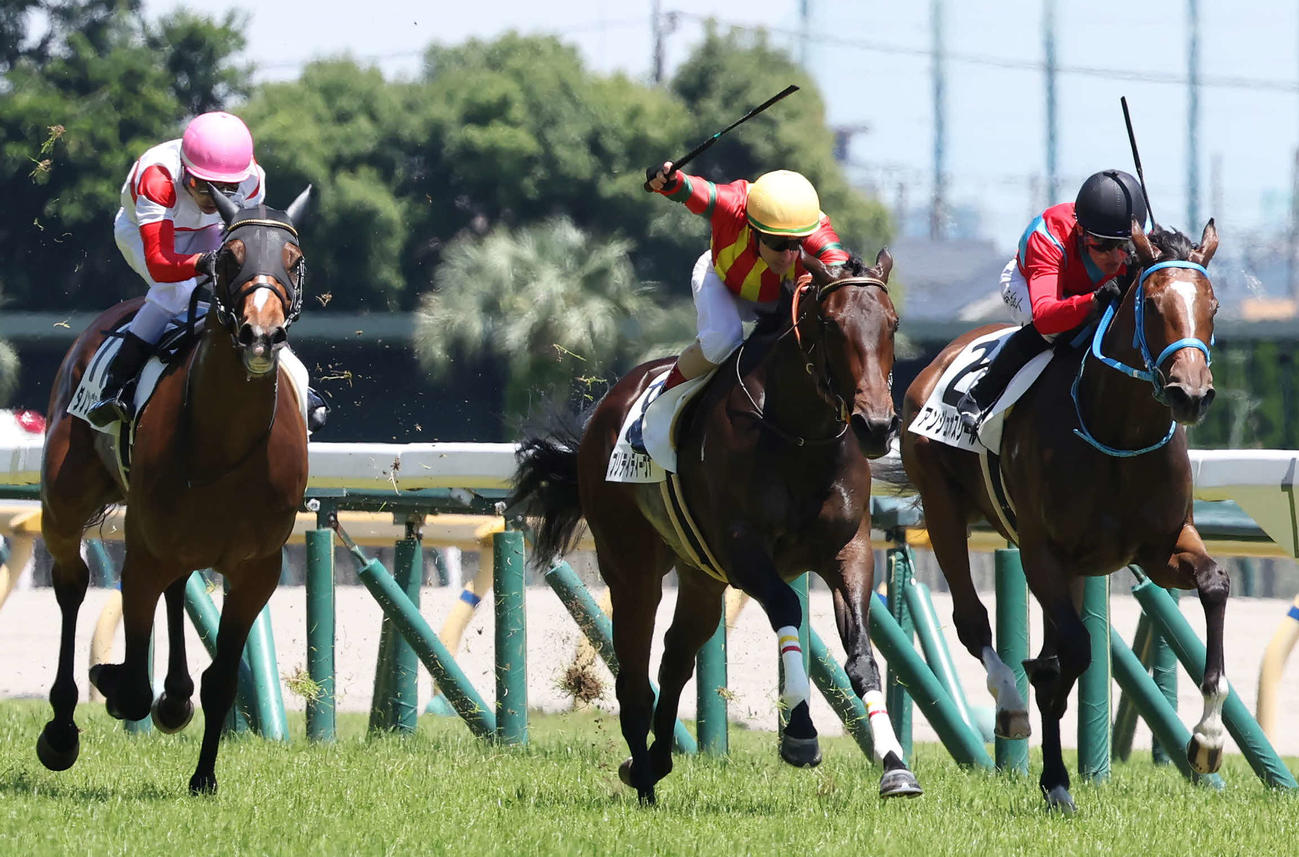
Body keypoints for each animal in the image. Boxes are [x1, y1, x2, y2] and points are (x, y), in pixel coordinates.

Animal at [36, 186, 312, 795]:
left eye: (294, 259)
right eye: (229, 257)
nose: (261, 335)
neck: (224, 443)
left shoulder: (258, 569)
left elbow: (222, 680)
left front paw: (203, 777)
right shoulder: (143, 552)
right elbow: (134, 684)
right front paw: (111, 682)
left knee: (177, 588)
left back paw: (175, 697)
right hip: (64, 503)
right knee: (71, 583)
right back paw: (62, 728)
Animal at [512, 249, 923, 804]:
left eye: (892, 324)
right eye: (832, 324)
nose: (876, 426)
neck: (799, 438)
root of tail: (605, 411)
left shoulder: (847, 551)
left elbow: (861, 653)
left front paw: (895, 767)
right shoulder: (742, 551)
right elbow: (787, 608)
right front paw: (800, 735)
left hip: (701, 578)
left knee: (675, 657)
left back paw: (655, 761)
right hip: (631, 565)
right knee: (634, 678)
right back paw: (644, 780)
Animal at [892, 220, 1225, 812]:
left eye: (1212, 305)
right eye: (1152, 303)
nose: (1191, 395)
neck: (1116, 432)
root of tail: (938, 358)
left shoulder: (1161, 548)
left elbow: (1213, 585)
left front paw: (1207, 737)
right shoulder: (1041, 551)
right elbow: (1070, 653)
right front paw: (1053, 768)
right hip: (943, 505)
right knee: (971, 618)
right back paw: (1010, 704)